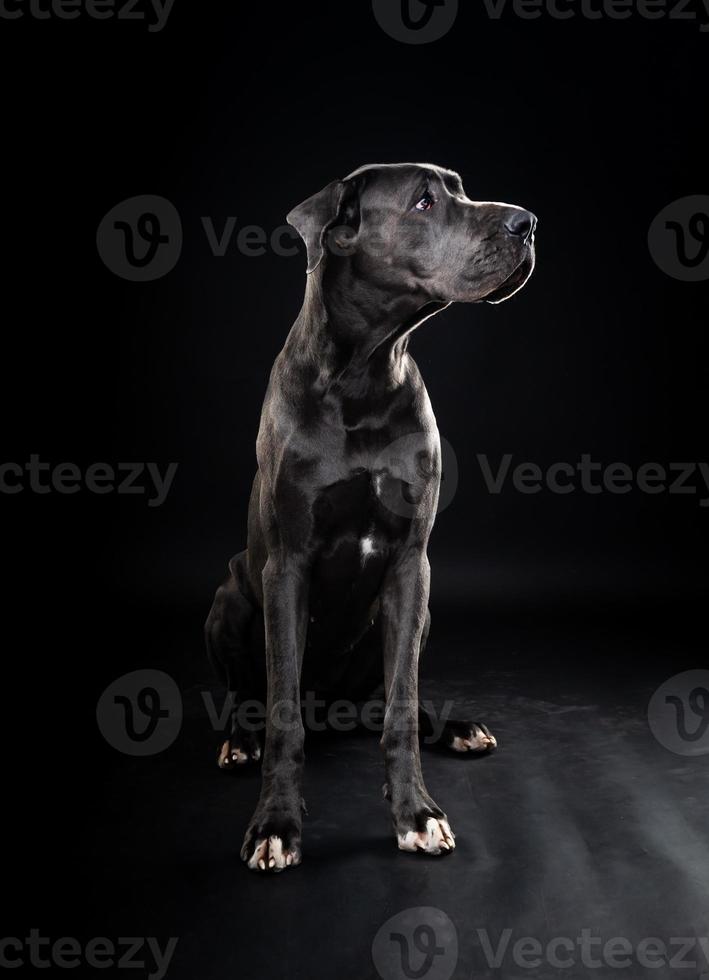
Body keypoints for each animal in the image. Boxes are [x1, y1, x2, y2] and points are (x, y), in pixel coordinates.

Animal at [206, 163, 536, 872]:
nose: (527, 224)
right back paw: (240, 739)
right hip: (230, 596)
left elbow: (402, 708)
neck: (364, 373)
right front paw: (275, 823)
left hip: (416, 615)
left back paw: (457, 729)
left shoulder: (412, 564)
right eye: (424, 201)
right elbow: (282, 714)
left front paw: (417, 813)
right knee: (250, 694)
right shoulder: (286, 567)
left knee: (381, 703)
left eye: (459, 189)